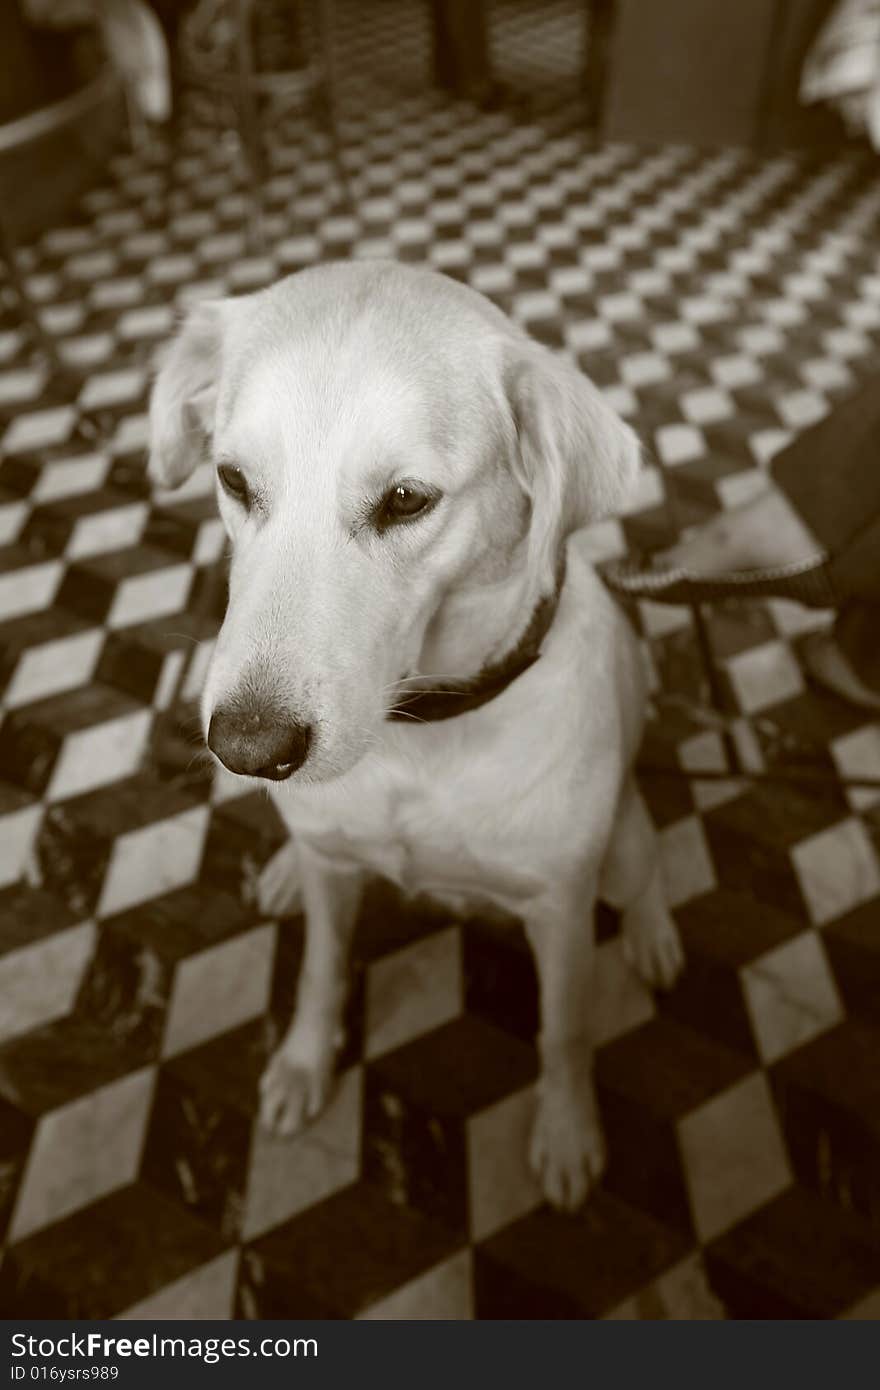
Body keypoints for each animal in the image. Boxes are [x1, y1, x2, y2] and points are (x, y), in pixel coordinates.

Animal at [147, 258, 683, 1206]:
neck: (422, 734)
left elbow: (565, 1029)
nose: (247, 748)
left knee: (644, 860)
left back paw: (654, 935)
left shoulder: (560, 913)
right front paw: (303, 1064)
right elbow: (321, 971)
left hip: (616, 845)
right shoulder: (335, 872)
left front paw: (566, 1130)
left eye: (405, 500)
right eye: (234, 479)